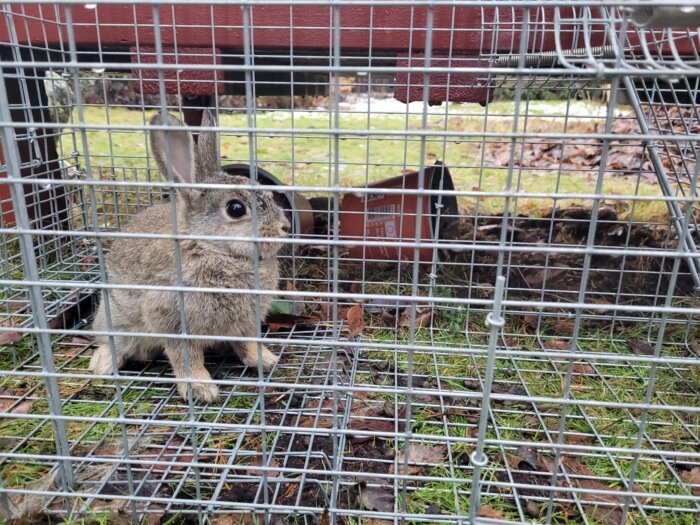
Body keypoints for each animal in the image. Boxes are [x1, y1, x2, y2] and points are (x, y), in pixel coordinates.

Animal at [89, 108, 288, 400]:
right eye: (236, 208)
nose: (285, 227)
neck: (213, 248)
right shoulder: (172, 321)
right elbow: (186, 357)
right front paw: (201, 389)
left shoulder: (247, 322)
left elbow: (249, 342)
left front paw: (266, 360)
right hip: (115, 318)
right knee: (110, 342)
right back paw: (102, 364)